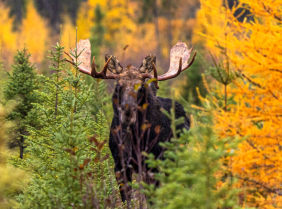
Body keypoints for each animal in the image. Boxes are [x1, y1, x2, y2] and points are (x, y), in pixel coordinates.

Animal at [65, 40, 196, 203]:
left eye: (141, 87)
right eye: (118, 86)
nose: (127, 111)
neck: (134, 139)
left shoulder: (153, 164)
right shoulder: (120, 164)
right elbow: (127, 199)